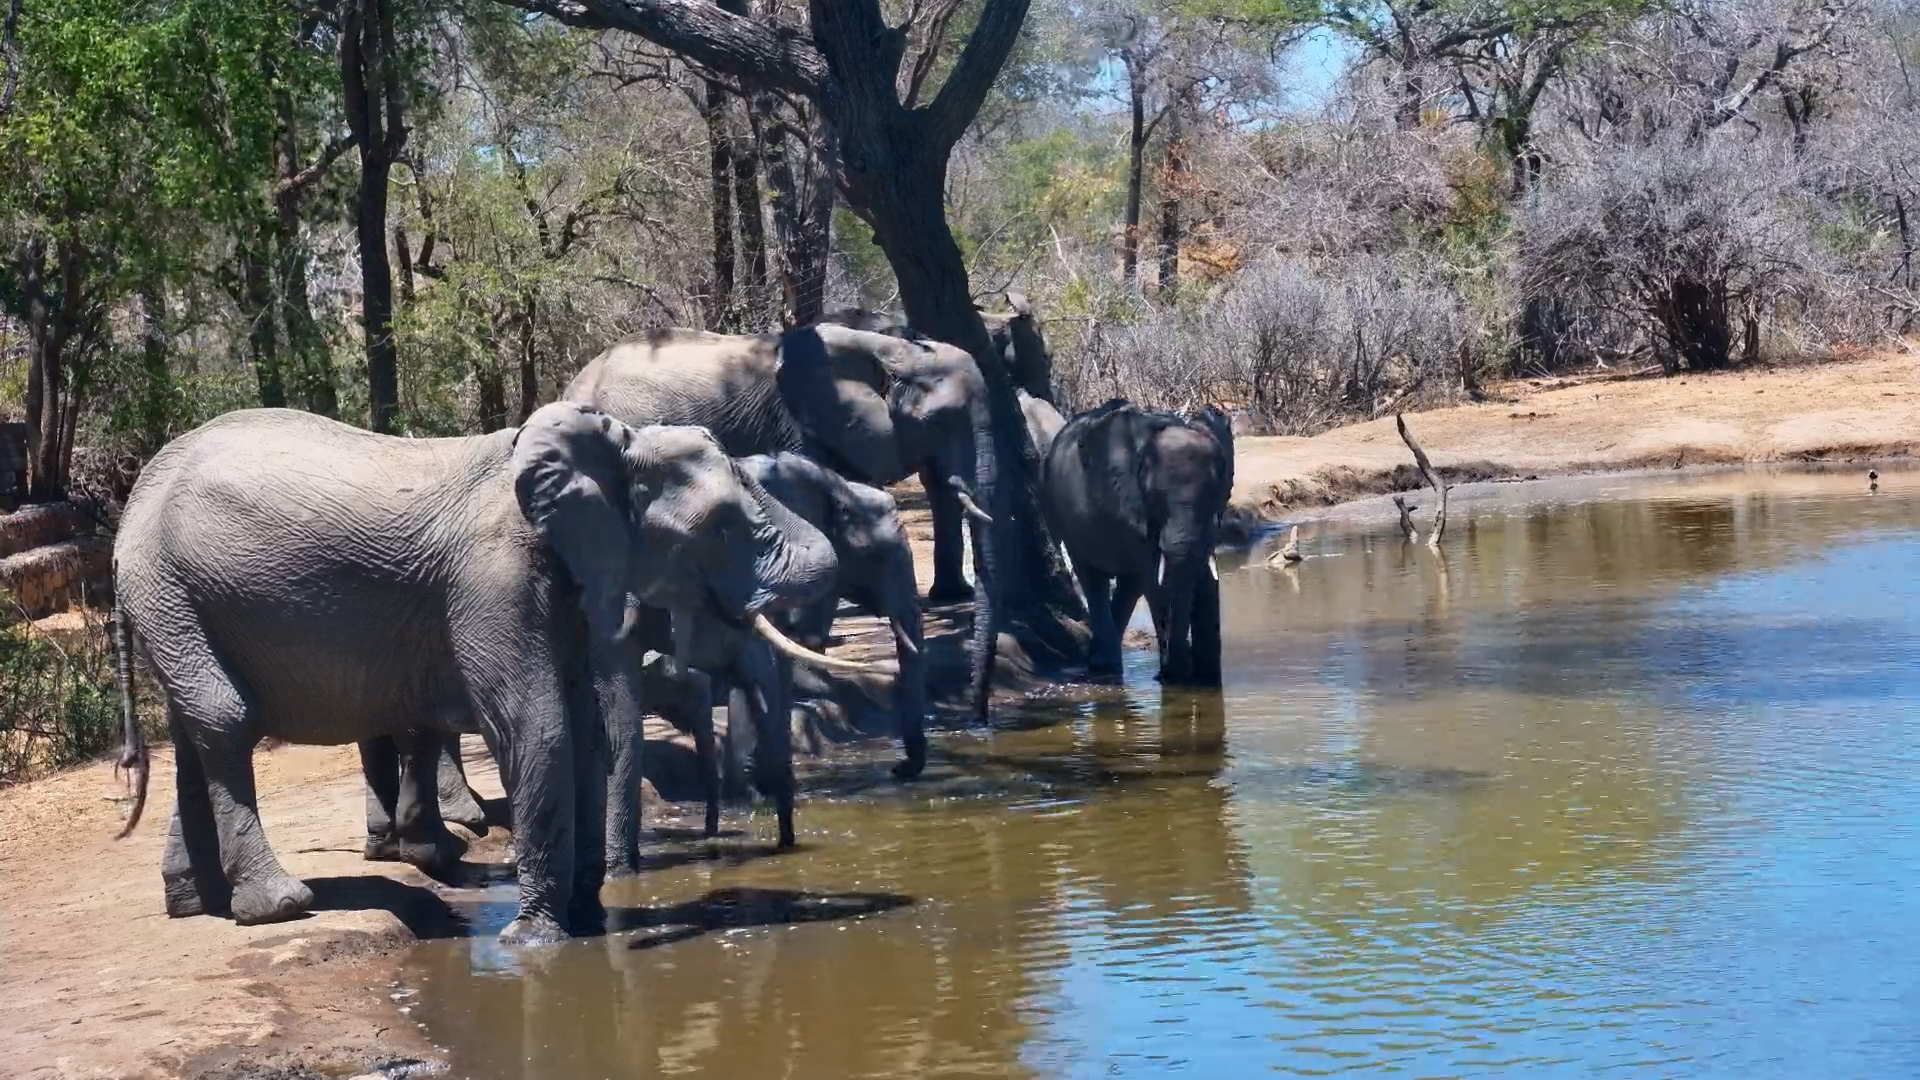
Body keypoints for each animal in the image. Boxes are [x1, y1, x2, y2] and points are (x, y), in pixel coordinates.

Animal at [109, 402, 838, 944]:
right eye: (725, 525)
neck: (609, 444)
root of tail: (133, 500)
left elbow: (582, 729)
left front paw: (588, 921)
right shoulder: (493, 579)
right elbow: (537, 727)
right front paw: (535, 942)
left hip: (177, 601)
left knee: (197, 728)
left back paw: (194, 901)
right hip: (168, 585)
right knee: (225, 720)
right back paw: (279, 904)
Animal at [1039, 400, 1234, 686]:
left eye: (1215, 493)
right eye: (1156, 498)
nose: (1163, 675)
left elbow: (1202, 579)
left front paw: (1202, 677)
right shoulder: (1133, 507)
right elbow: (1154, 582)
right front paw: (1175, 677)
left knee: (1129, 584)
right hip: (1060, 511)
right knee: (1092, 577)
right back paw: (1105, 665)